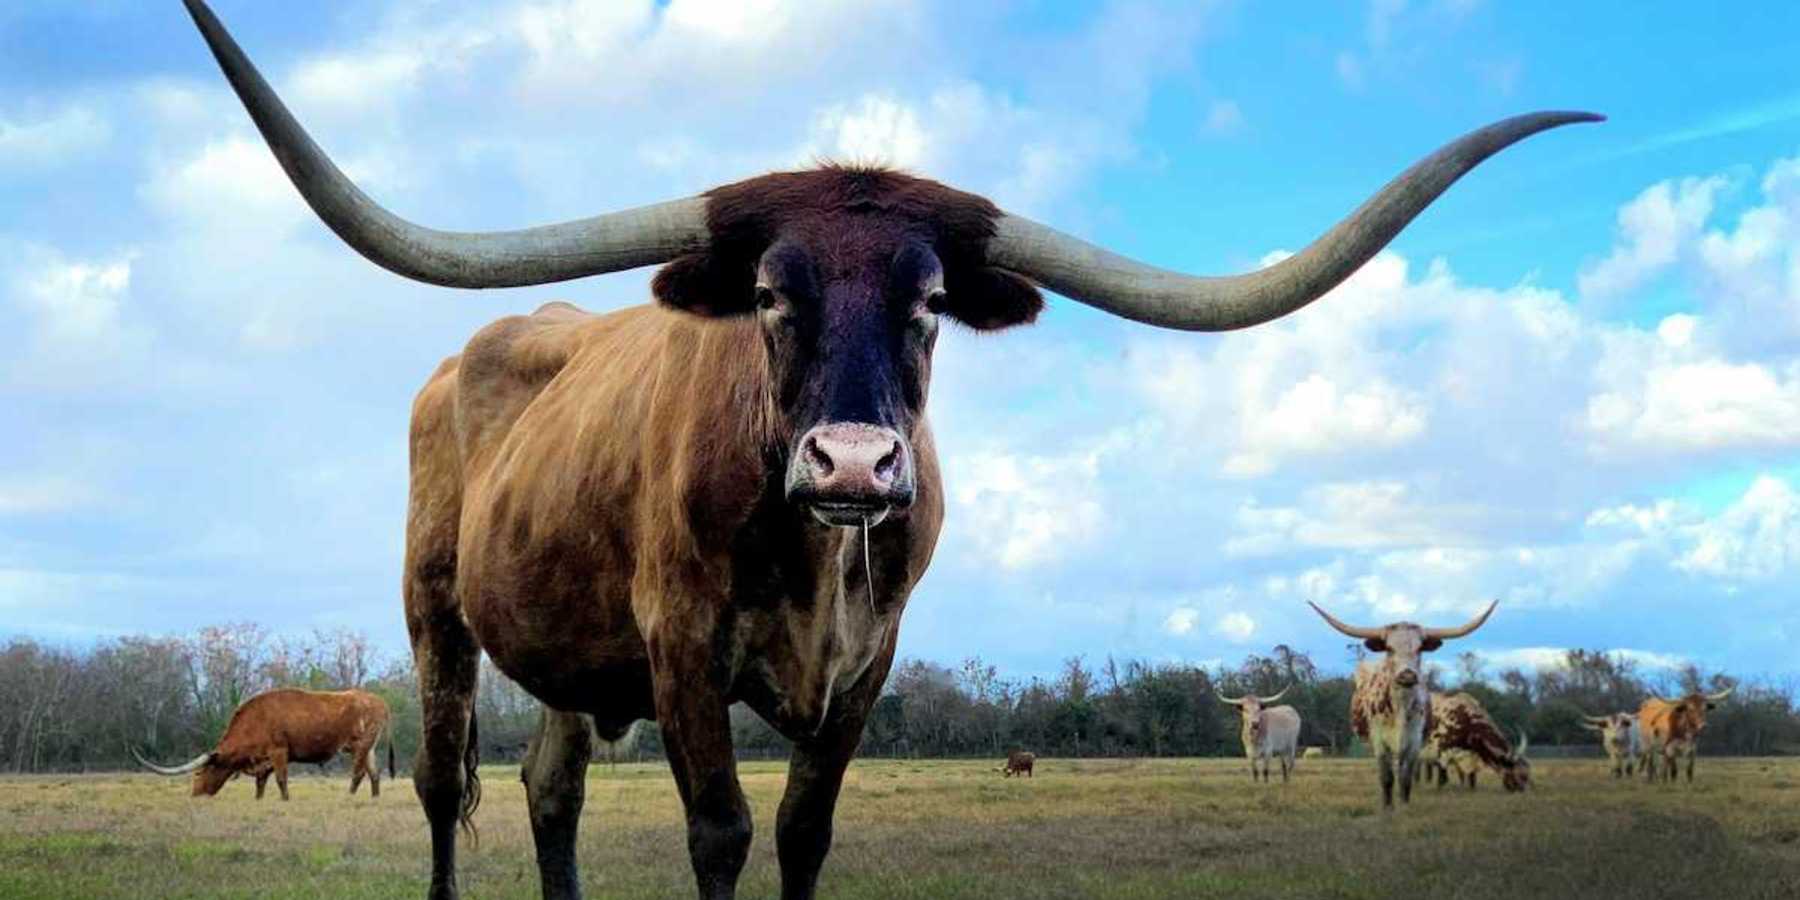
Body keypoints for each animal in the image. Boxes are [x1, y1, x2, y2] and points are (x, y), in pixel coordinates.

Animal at [132, 688, 393, 801]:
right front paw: (258, 800)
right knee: (374, 773)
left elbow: (280, 779)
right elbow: (260, 783)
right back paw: (375, 799)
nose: (195, 795)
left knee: (358, 773)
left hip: (360, 746)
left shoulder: (279, 751)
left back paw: (348, 797)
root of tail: (379, 701)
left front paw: (285, 800)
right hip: (369, 748)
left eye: (198, 774)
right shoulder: (263, 759)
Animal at [1309, 601, 1498, 809]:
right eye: (1389, 648)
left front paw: (1404, 805)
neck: (1400, 707)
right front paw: (1388, 808)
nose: (1407, 675)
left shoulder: (1414, 742)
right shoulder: (1380, 742)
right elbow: (1386, 778)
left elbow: (1405, 777)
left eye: (1419, 648)